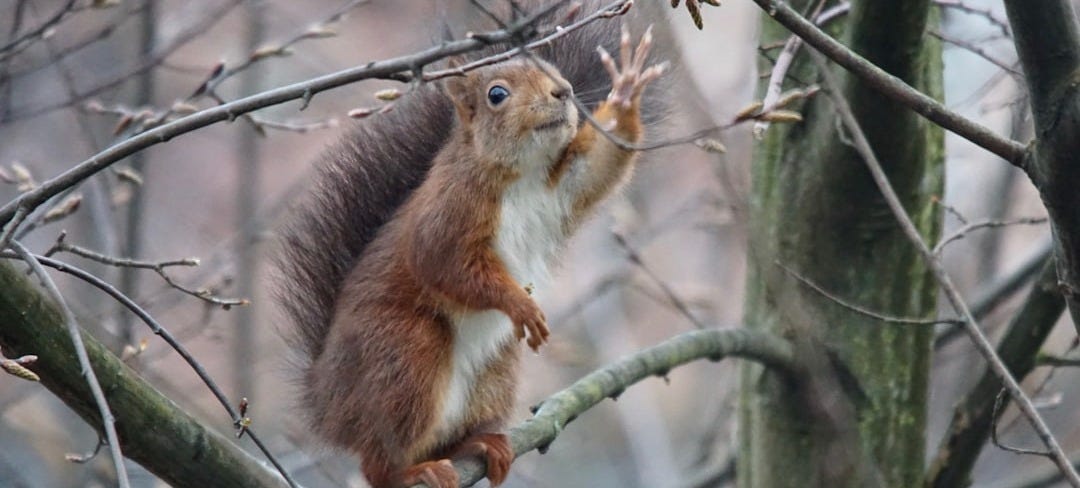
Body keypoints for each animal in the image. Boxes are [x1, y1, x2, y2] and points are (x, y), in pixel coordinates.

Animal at [275, 3, 666, 487]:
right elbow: (445, 263)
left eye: (553, 70)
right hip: (405, 353)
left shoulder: (564, 183)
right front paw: (518, 303)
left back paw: (479, 445)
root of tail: (328, 406)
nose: (564, 92)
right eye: (497, 94)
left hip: (495, 372)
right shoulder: (448, 211)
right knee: (378, 463)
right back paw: (412, 471)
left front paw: (626, 92)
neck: (522, 174)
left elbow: (601, 166)